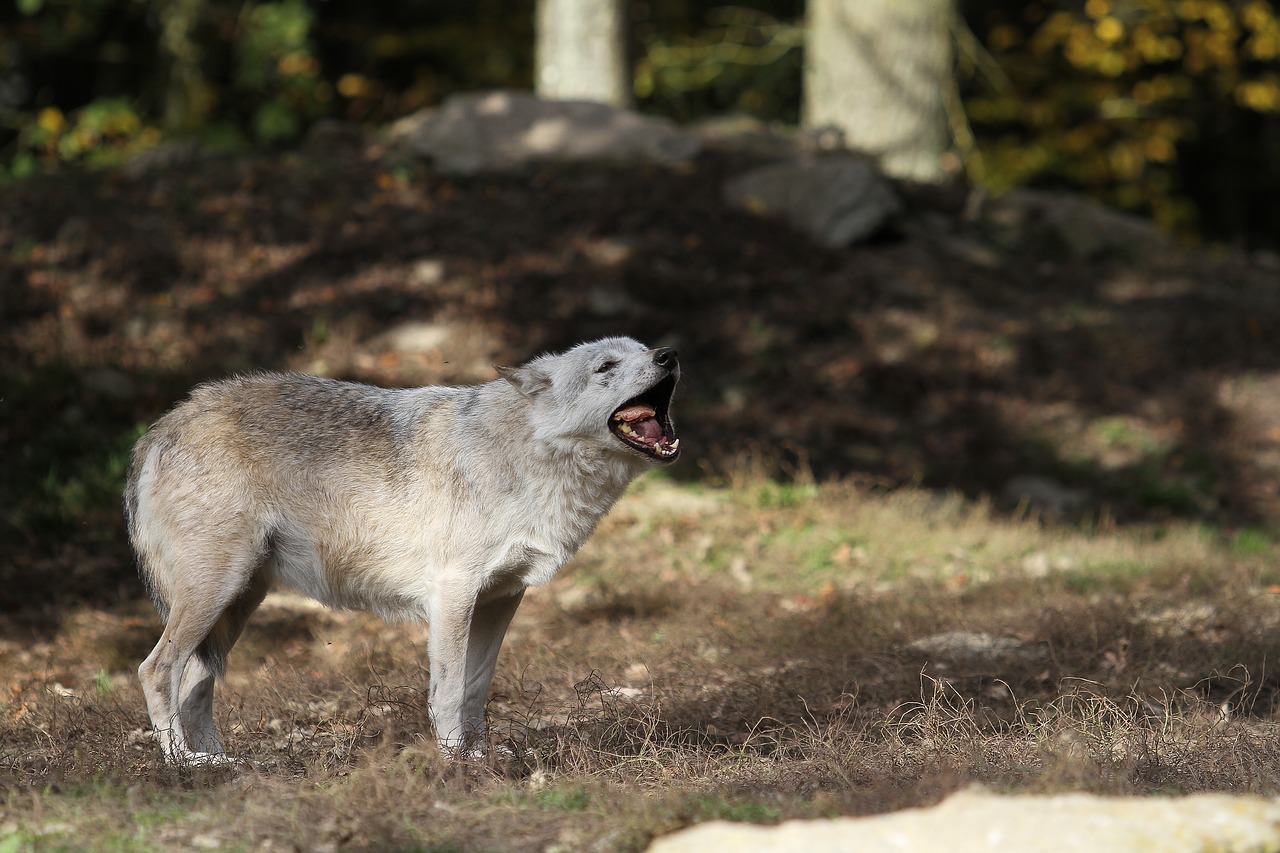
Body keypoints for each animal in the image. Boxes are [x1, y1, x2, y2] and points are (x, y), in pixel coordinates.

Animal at [124, 333, 680, 758]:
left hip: (235, 603)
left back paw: (219, 763)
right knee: (156, 669)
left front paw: (480, 757)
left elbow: (476, 687)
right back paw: (182, 763)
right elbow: (449, 690)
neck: (526, 454)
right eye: (605, 366)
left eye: (643, 348)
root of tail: (161, 426)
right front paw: (454, 761)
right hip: (217, 590)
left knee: (194, 683)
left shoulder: (501, 598)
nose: (669, 354)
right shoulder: (453, 593)